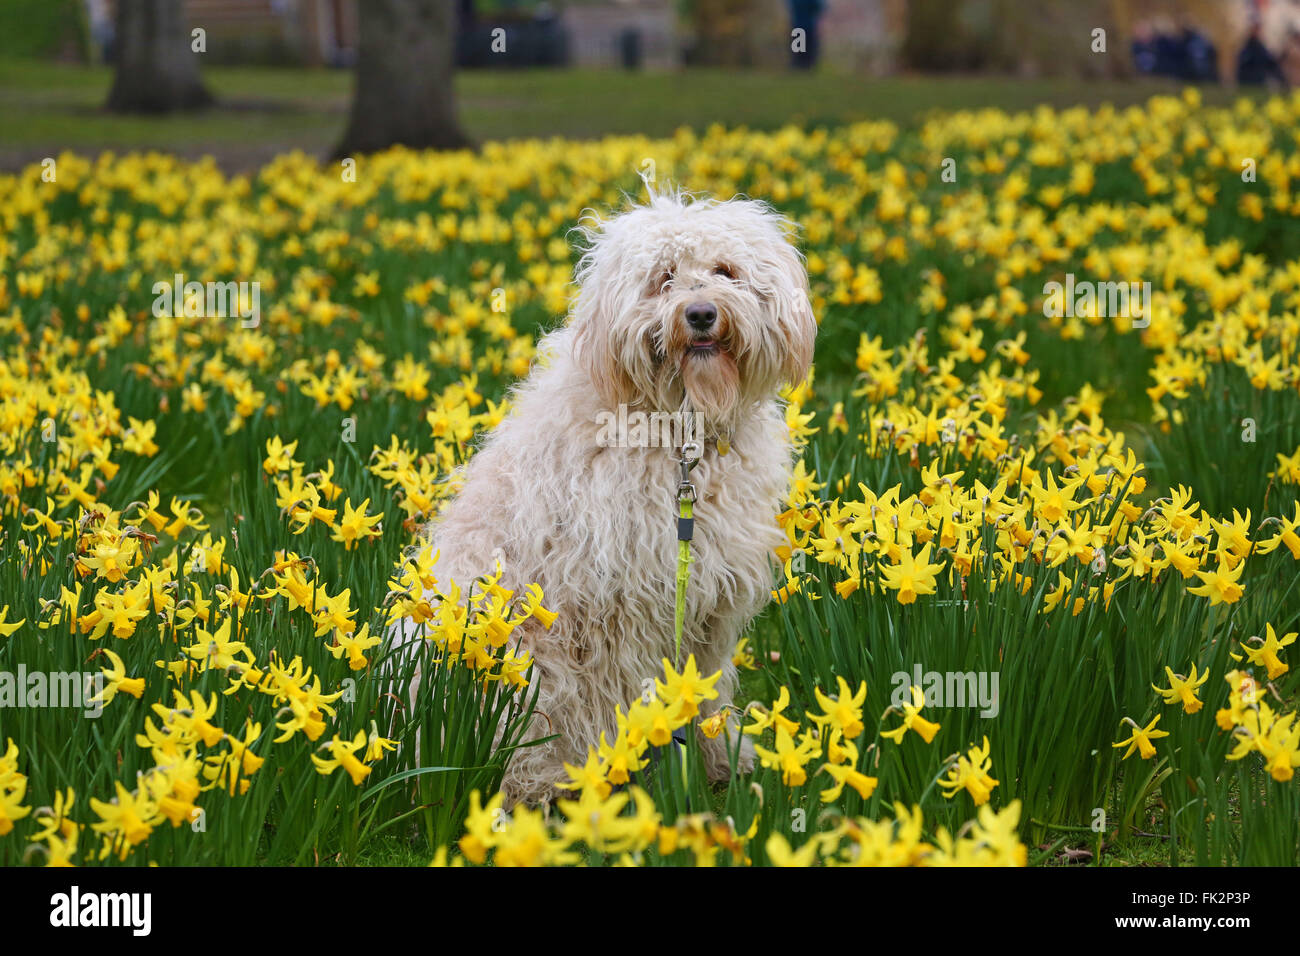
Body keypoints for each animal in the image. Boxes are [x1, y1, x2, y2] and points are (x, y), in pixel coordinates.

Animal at [392, 191, 811, 806]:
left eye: (724, 271)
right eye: (664, 278)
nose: (700, 314)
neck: (678, 435)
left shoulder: (704, 607)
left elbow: (703, 690)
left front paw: (717, 760)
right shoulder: (616, 611)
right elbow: (615, 699)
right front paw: (619, 768)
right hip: (510, 665)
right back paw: (539, 786)